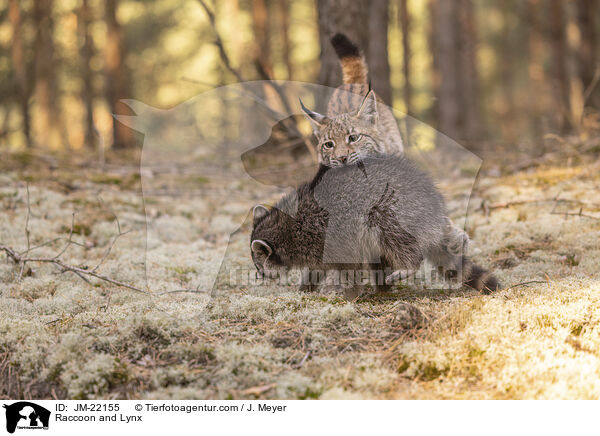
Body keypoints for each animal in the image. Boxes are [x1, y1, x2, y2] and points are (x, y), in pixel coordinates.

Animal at [251, 155, 500, 294]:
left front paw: (351, 293)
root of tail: (435, 210)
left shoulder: (327, 235)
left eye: (259, 265)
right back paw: (382, 286)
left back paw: (406, 265)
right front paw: (305, 288)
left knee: (393, 235)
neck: (286, 228)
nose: (260, 277)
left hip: (396, 211)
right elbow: (316, 269)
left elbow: (349, 265)